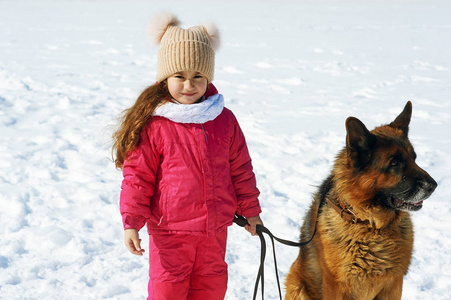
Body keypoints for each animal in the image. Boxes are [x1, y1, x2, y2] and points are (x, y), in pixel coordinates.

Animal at [286, 102, 438, 298]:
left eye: (415, 158)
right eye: (394, 163)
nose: (434, 186)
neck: (371, 225)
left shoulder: (393, 286)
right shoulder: (336, 288)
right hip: (297, 285)